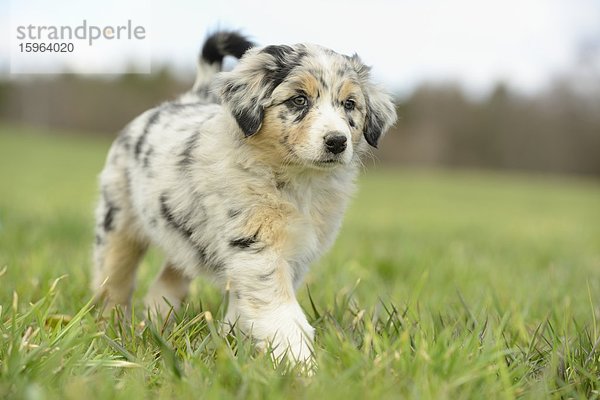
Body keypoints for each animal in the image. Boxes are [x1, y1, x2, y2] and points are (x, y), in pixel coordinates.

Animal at [91, 30, 396, 362]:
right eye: (299, 100)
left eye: (350, 104)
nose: (337, 142)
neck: (297, 181)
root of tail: (188, 99)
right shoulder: (258, 248)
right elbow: (283, 315)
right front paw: (301, 364)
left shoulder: (294, 253)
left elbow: (246, 307)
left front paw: (235, 345)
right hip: (118, 222)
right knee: (113, 281)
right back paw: (110, 329)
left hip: (184, 236)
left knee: (167, 280)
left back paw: (157, 322)